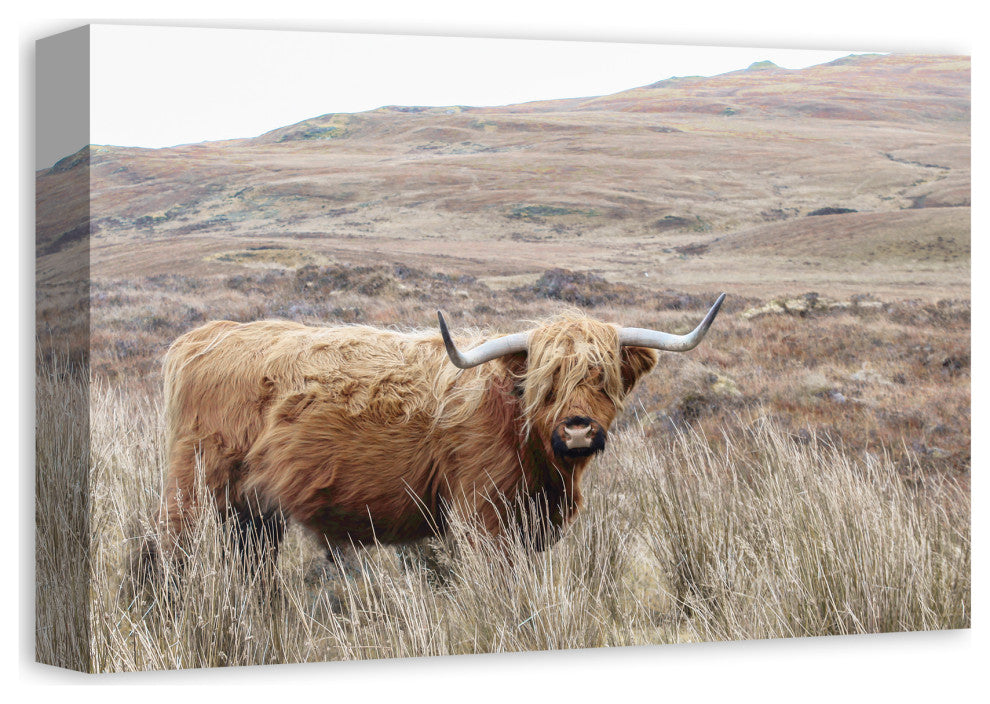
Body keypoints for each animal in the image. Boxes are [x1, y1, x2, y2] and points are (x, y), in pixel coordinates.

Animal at [146, 294, 725, 574]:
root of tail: (203, 336)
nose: (578, 429)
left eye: (602, 378)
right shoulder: (484, 519)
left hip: (253, 511)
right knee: (162, 555)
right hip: (192, 490)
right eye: (547, 382)